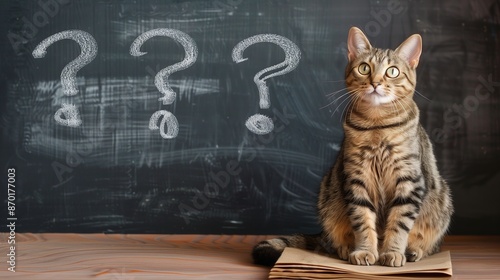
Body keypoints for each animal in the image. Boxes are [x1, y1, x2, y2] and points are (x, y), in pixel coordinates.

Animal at [254, 27, 454, 266]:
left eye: (392, 72)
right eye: (364, 68)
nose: (375, 82)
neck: (377, 125)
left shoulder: (409, 180)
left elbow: (399, 223)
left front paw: (393, 252)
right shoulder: (356, 178)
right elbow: (363, 220)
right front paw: (365, 250)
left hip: (442, 199)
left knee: (432, 245)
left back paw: (413, 251)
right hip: (328, 192)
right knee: (331, 242)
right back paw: (346, 248)